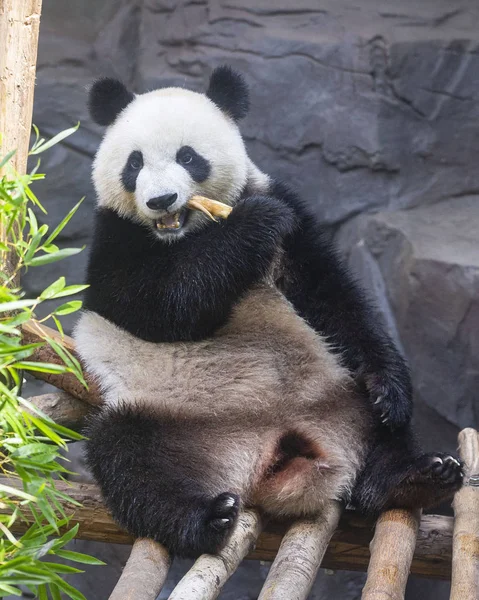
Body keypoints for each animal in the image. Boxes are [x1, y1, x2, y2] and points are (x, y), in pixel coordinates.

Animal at [76, 65, 464, 556]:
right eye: (134, 163)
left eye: (188, 157)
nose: (161, 200)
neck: (185, 233)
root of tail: (272, 448)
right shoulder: (113, 238)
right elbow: (158, 305)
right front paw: (253, 223)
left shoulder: (287, 215)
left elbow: (331, 297)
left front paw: (389, 387)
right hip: (165, 414)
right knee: (128, 459)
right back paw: (206, 518)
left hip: (337, 389)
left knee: (382, 435)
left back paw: (415, 476)